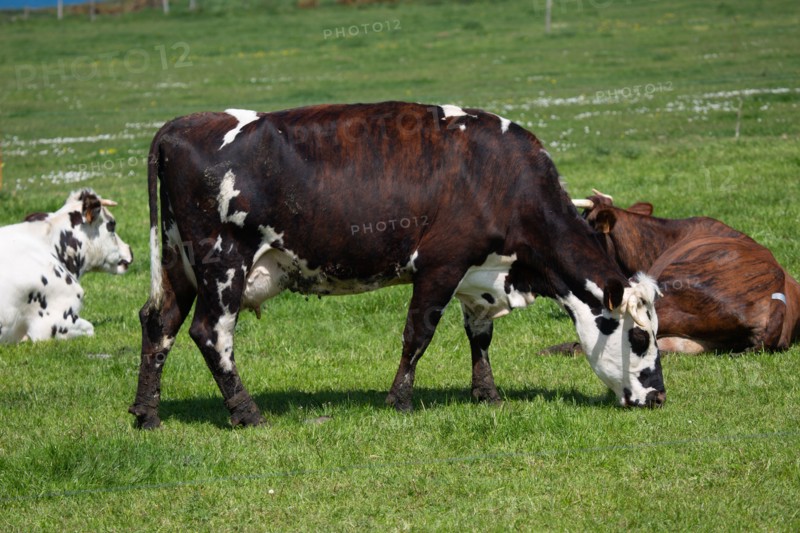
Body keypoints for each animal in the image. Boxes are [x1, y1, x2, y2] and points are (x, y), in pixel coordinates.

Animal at [129, 102, 666, 429]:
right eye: (639, 337)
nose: (659, 397)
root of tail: (179, 126)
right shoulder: (442, 263)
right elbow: (418, 334)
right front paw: (400, 400)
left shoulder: (480, 275)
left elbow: (480, 336)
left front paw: (486, 394)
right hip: (224, 263)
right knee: (211, 333)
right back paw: (247, 412)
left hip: (179, 262)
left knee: (159, 323)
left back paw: (146, 413)